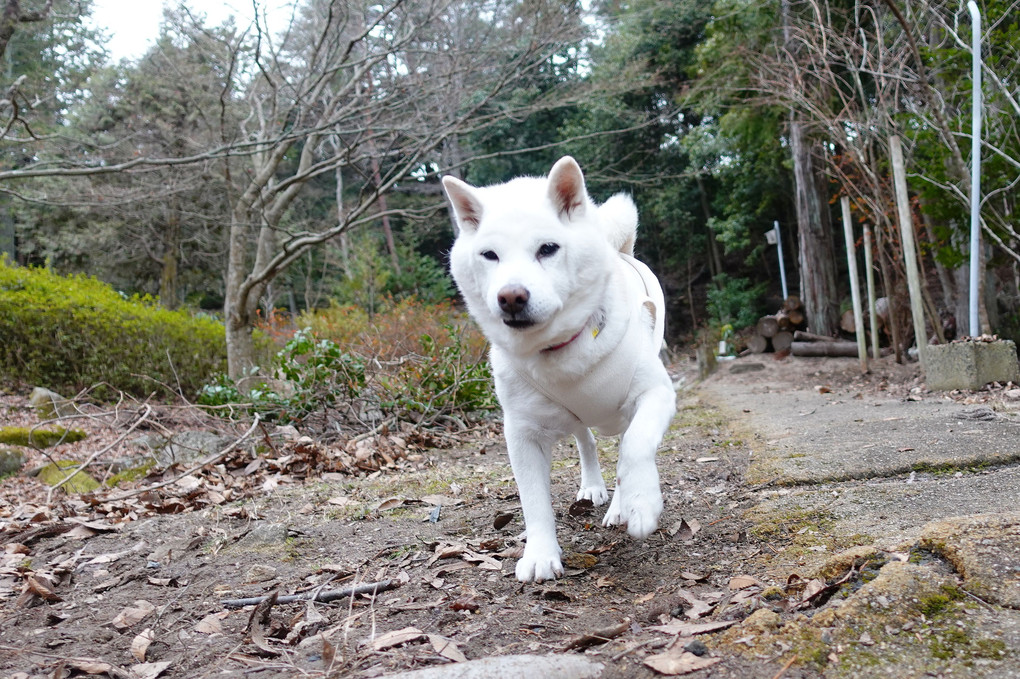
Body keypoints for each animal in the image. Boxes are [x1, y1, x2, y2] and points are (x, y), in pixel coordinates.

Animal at [440, 155, 673, 579]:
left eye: (547, 249)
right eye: (489, 255)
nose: (511, 297)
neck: (560, 350)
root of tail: (623, 250)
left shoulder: (655, 394)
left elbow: (634, 447)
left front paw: (641, 503)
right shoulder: (522, 434)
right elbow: (533, 501)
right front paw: (540, 554)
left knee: (621, 445)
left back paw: (621, 505)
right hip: (574, 417)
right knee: (587, 440)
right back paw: (594, 486)